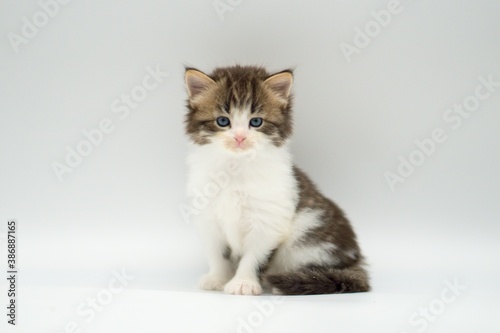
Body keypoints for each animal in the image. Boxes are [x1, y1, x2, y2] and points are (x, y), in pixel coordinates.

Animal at [185, 65, 372, 294]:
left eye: (256, 122)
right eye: (223, 121)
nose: (240, 137)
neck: (236, 168)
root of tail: (354, 259)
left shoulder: (269, 221)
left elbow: (254, 257)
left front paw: (243, 282)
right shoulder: (209, 219)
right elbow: (218, 254)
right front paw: (217, 278)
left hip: (309, 240)